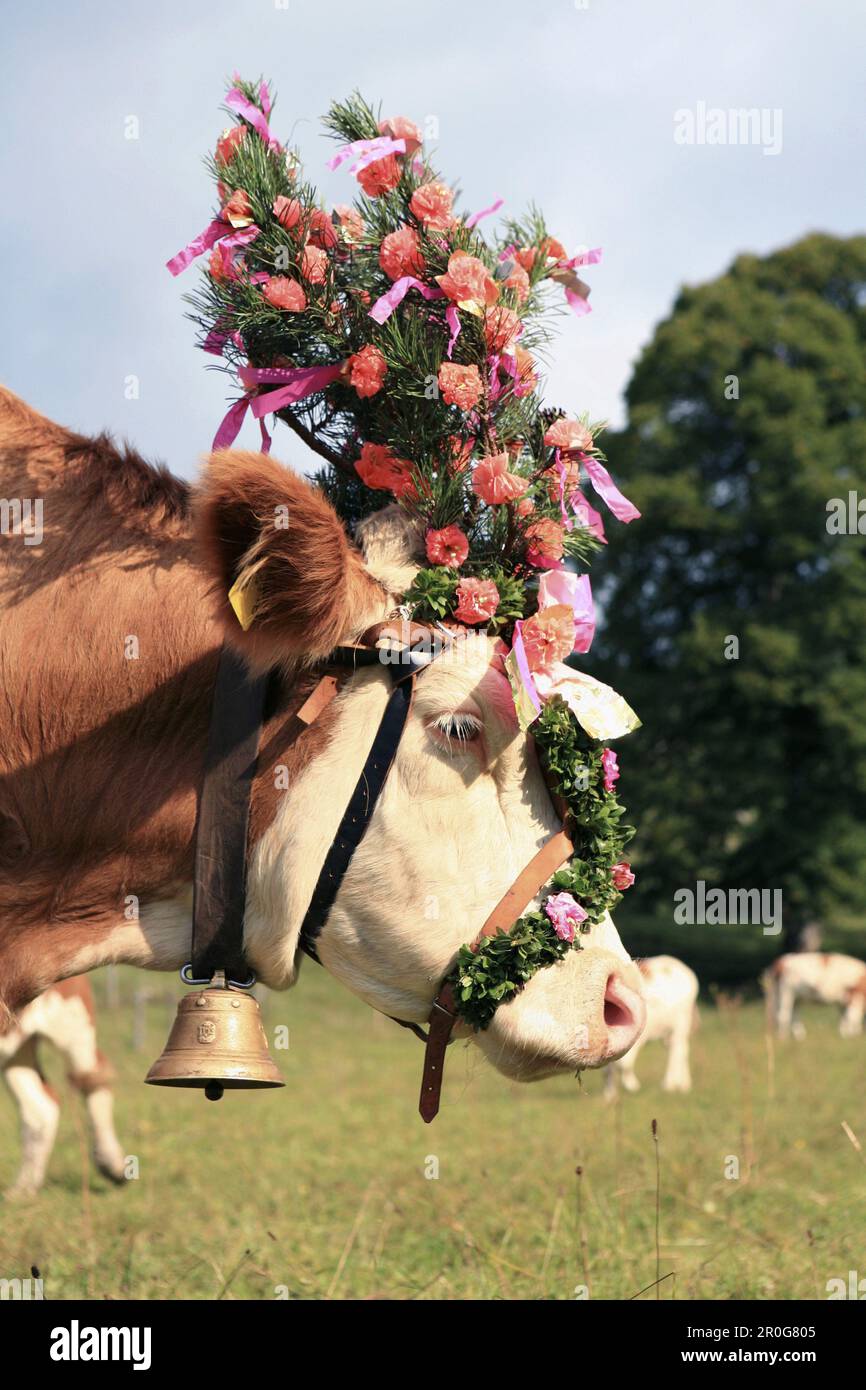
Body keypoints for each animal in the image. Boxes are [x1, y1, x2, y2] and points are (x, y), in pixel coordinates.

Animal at [0, 978, 126, 1195]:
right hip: (16, 1047)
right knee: (40, 1108)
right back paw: (23, 1189)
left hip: (72, 1021)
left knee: (93, 1078)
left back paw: (111, 1163)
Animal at [606, 956, 700, 1095]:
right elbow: (609, 1068)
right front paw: (609, 1095)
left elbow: (623, 1064)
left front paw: (631, 1085)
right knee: (679, 1049)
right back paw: (683, 1084)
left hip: (681, 1022)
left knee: (678, 1050)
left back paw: (670, 1084)